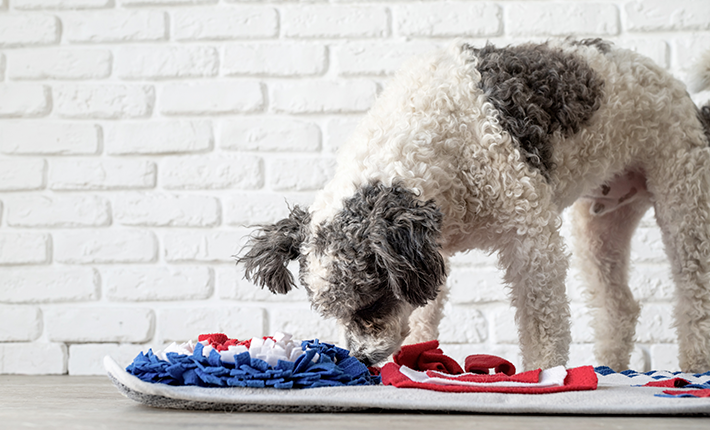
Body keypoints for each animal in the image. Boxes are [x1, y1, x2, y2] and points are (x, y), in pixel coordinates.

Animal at [238, 37, 710, 372]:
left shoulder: (531, 238)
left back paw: (693, 368)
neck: (433, 138)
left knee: (694, 293)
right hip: (599, 228)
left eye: (370, 303)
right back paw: (610, 368)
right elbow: (424, 314)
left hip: (683, 200)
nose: (362, 357)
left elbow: (542, 322)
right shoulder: (430, 253)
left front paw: (545, 376)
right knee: (619, 307)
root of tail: (683, 95)